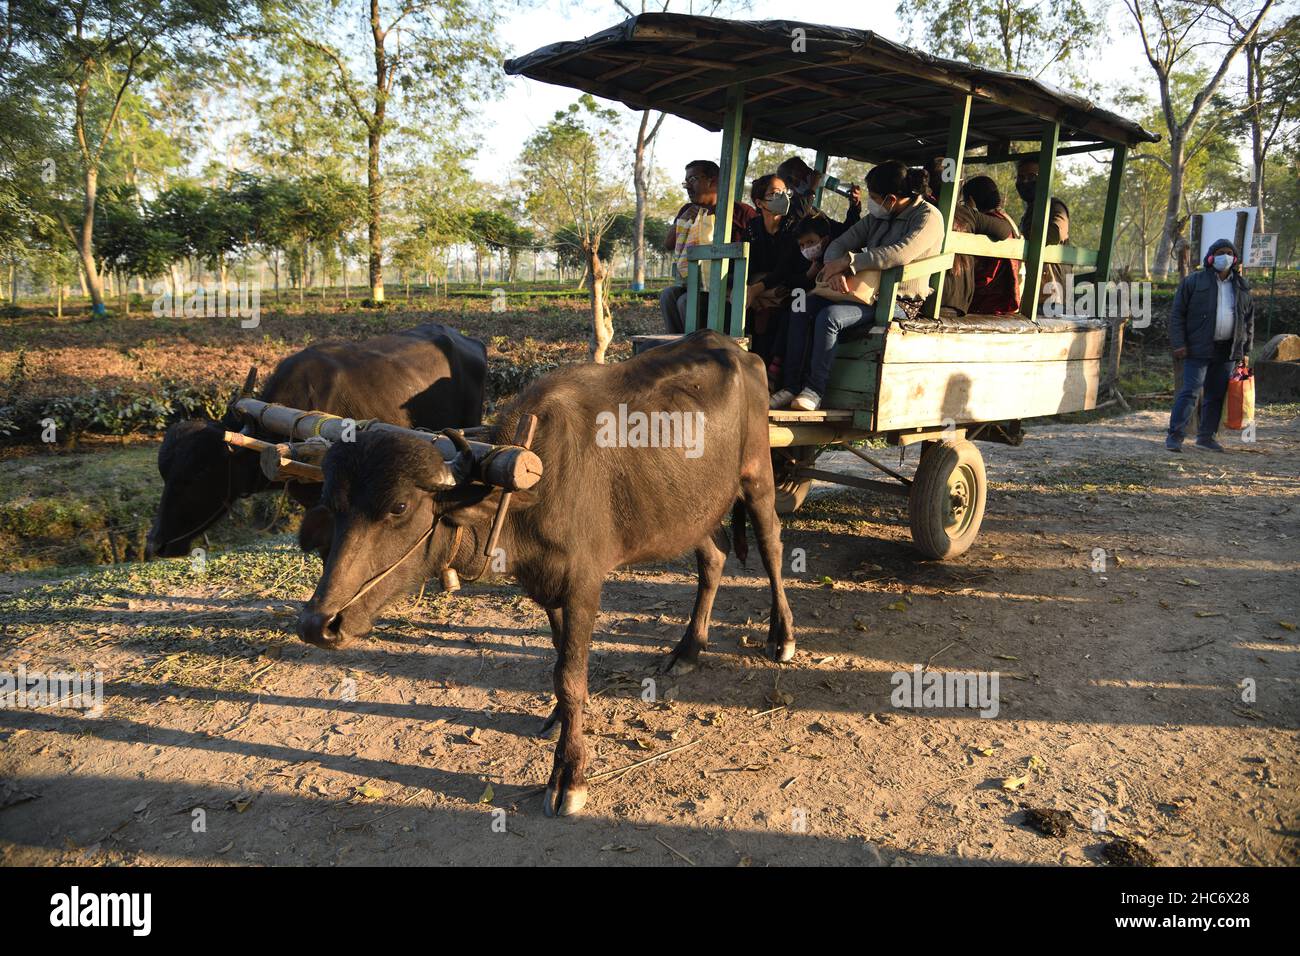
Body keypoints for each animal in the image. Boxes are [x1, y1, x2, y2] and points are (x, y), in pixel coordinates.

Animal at [297, 332, 790, 816]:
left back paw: (781, 637)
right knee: (714, 558)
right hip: (690, 511)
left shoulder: (583, 587)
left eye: (399, 506)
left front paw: (569, 774)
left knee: (771, 546)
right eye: (332, 505)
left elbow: (570, 677)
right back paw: (689, 648)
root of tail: (739, 352)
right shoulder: (546, 585)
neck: (534, 487)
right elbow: (558, 662)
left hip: (758, 476)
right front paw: (558, 719)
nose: (318, 623)